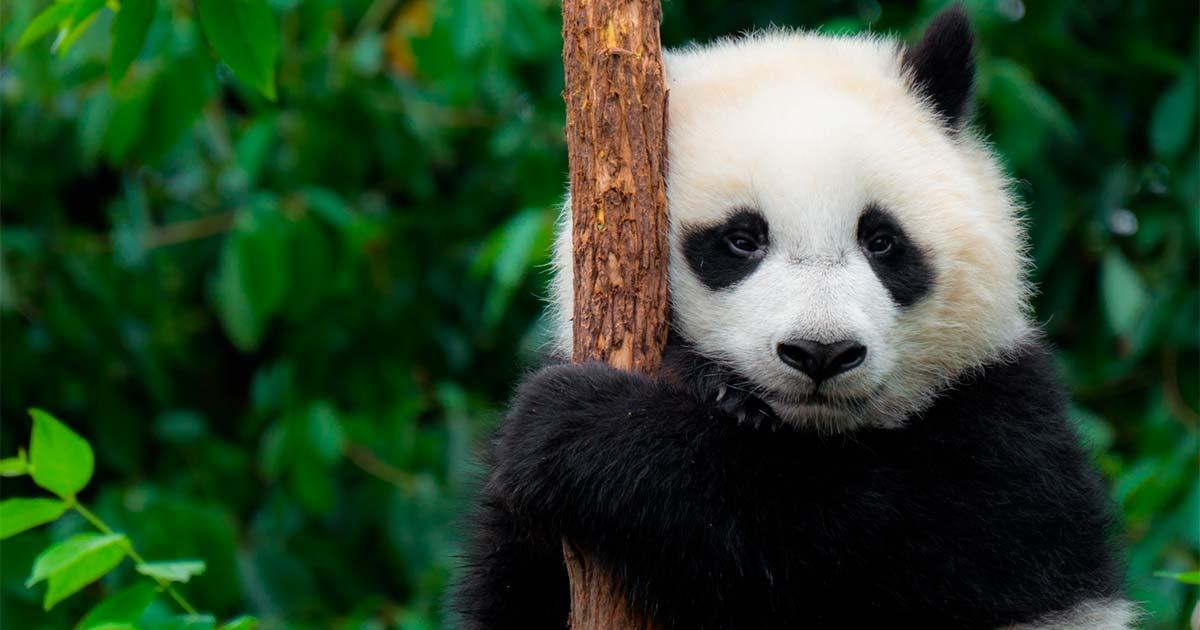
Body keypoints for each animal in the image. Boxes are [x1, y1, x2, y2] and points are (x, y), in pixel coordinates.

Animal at [453, 6, 1134, 629]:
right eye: (741, 240)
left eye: (881, 240)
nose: (821, 353)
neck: (813, 433)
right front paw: (703, 383)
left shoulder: (1005, 441)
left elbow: (829, 539)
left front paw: (579, 425)